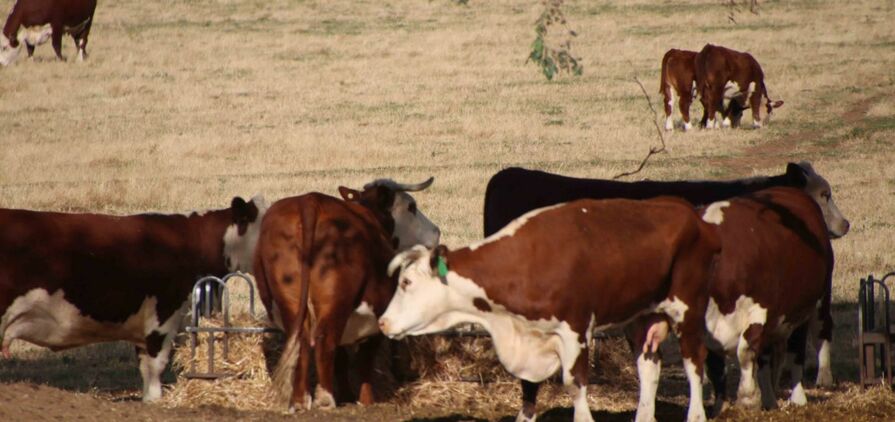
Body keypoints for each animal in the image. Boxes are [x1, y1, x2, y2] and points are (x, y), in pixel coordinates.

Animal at [256, 176, 440, 410]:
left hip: (292, 304)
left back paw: (301, 400)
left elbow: (342, 359)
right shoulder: (375, 319)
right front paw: (366, 400)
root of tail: (310, 201)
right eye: (411, 206)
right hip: (336, 306)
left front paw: (345, 394)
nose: (436, 232)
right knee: (325, 343)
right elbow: (364, 362)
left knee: (302, 343)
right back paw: (325, 399)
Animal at [382, 198, 724, 422]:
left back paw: (696, 415)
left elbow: (575, 386)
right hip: (640, 316)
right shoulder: (528, 335)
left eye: (407, 282)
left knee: (695, 363)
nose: (384, 323)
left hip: (688, 310)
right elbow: (528, 390)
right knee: (648, 366)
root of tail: (694, 216)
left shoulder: (576, 331)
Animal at [704, 186, 836, 414]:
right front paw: (720, 407)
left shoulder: (758, 312)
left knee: (806, 344)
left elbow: (745, 352)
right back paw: (770, 397)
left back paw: (807, 390)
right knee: (769, 358)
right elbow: (716, 368)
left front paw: (748, 398)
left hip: (811, 305)